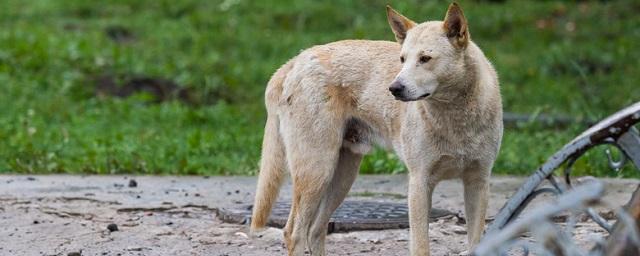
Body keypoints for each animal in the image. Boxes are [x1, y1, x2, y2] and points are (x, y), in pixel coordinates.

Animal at [252, 3, 502, 255]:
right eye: (402, 59)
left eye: (425, 58)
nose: (394, 88)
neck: (455, 118)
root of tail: (297, 59)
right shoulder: (419, 183)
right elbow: (421, 246)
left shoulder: (478, 182)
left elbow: (476, 242)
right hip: (317, 171)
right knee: (294, 232)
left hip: (342, 176)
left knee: (315, 230)